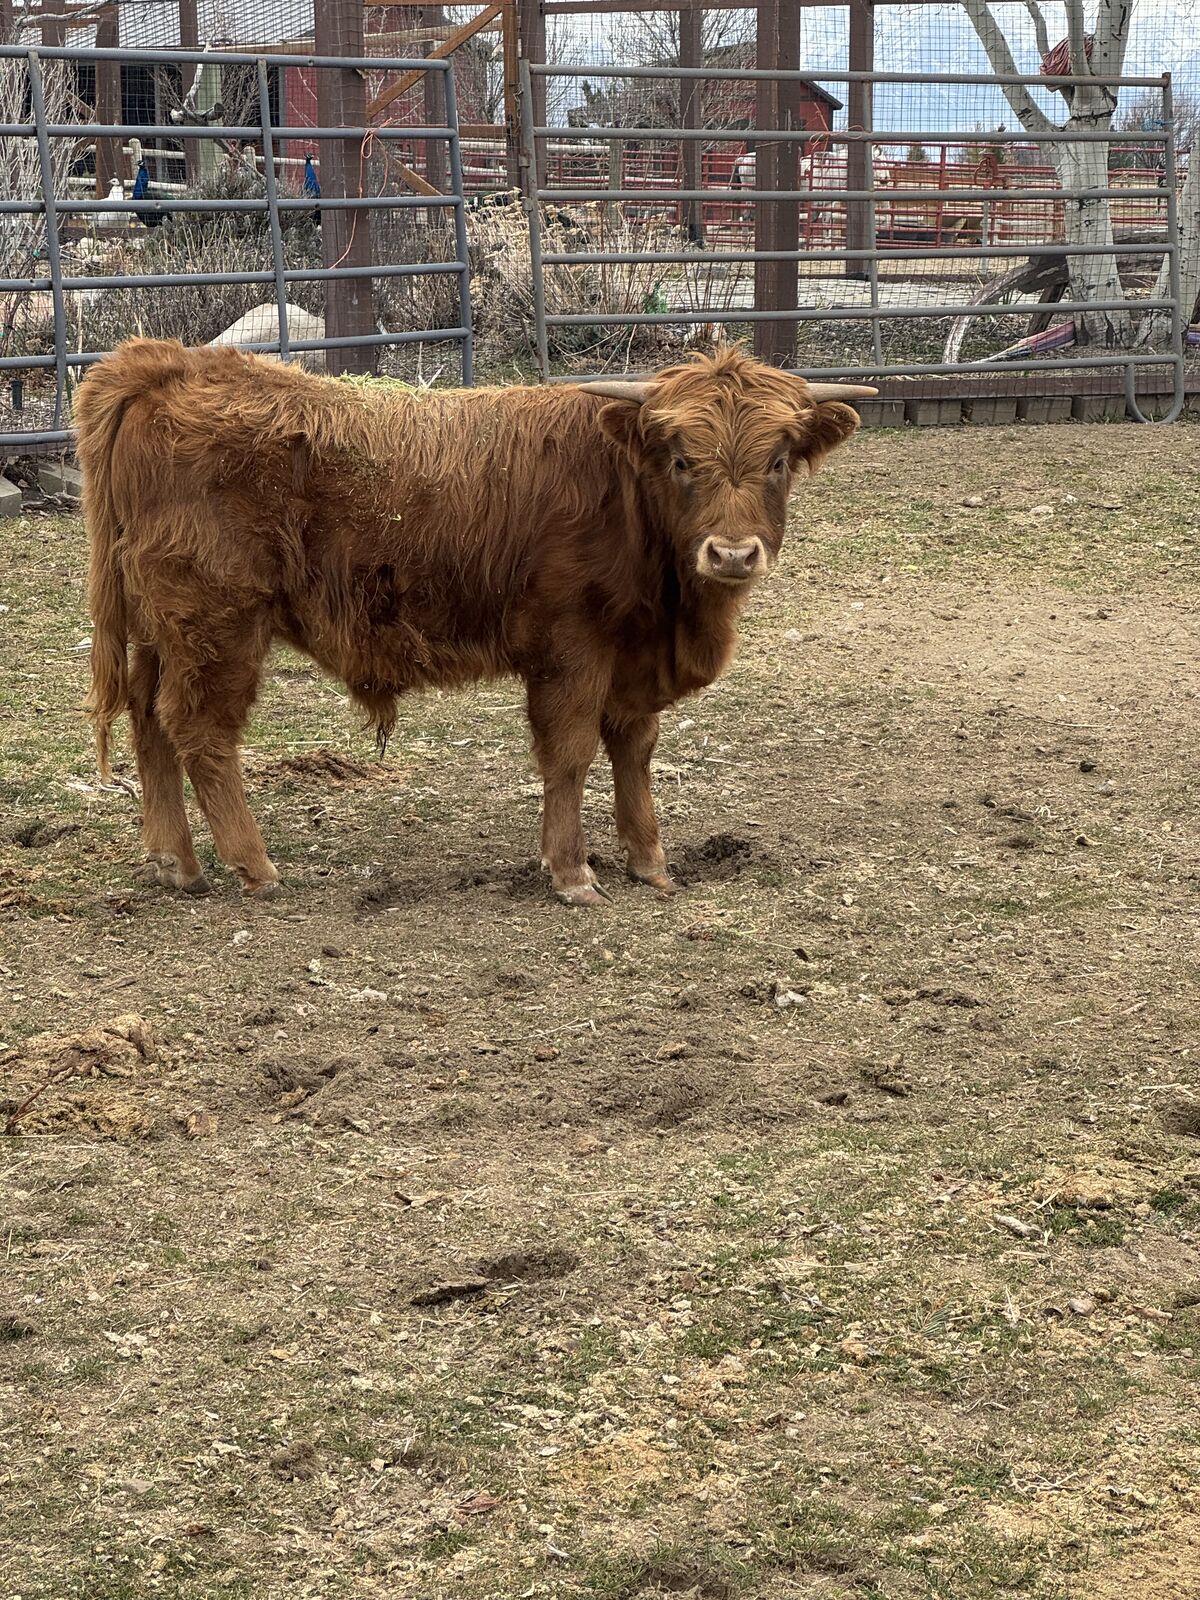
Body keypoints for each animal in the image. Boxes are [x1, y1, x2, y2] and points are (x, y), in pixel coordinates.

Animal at [76, 340, 873, 905]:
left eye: (779, 459)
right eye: (682, 459)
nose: (732, 553)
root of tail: (169, 364)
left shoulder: (632, 659)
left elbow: (634, 749)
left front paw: (649, 860)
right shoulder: (571, 649)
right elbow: (570, 753)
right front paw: (572, 872)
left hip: (163, 629)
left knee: (149, 718)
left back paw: (175, 861)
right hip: (217, 624)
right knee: (200, 729)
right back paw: (252, 864)